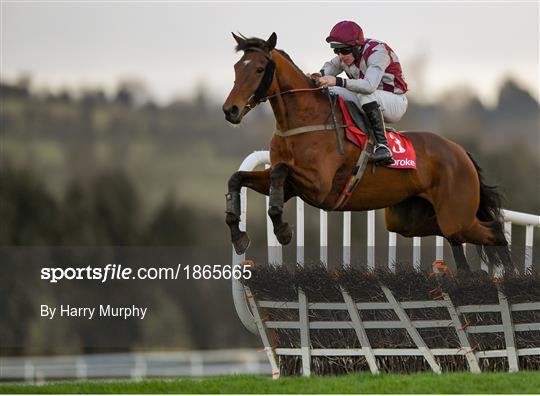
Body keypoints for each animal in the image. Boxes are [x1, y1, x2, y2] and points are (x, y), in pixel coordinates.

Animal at [221, 32, 512, 274]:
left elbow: (280, 172)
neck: (304, 120)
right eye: (236, 67)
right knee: (454, 236)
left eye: (259, 69)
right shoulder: (292, 185)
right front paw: (237, 232)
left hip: (456, 214)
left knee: (495, 231)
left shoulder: (319, 186)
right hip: (411, 220)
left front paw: (282, 229)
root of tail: (461, 152)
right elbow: (238, 177)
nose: (230, 110)